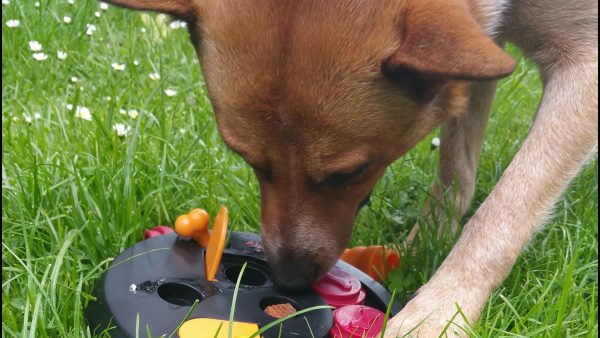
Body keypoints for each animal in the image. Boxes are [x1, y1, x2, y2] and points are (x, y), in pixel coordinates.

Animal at [101, 1, 596, 336]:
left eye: (348, 173)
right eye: (248, 160)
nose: (289, 280)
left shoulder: (583, 63)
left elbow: (504, 211)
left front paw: (439, 310)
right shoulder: (481, 50)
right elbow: (457, 165)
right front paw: (426, 242)